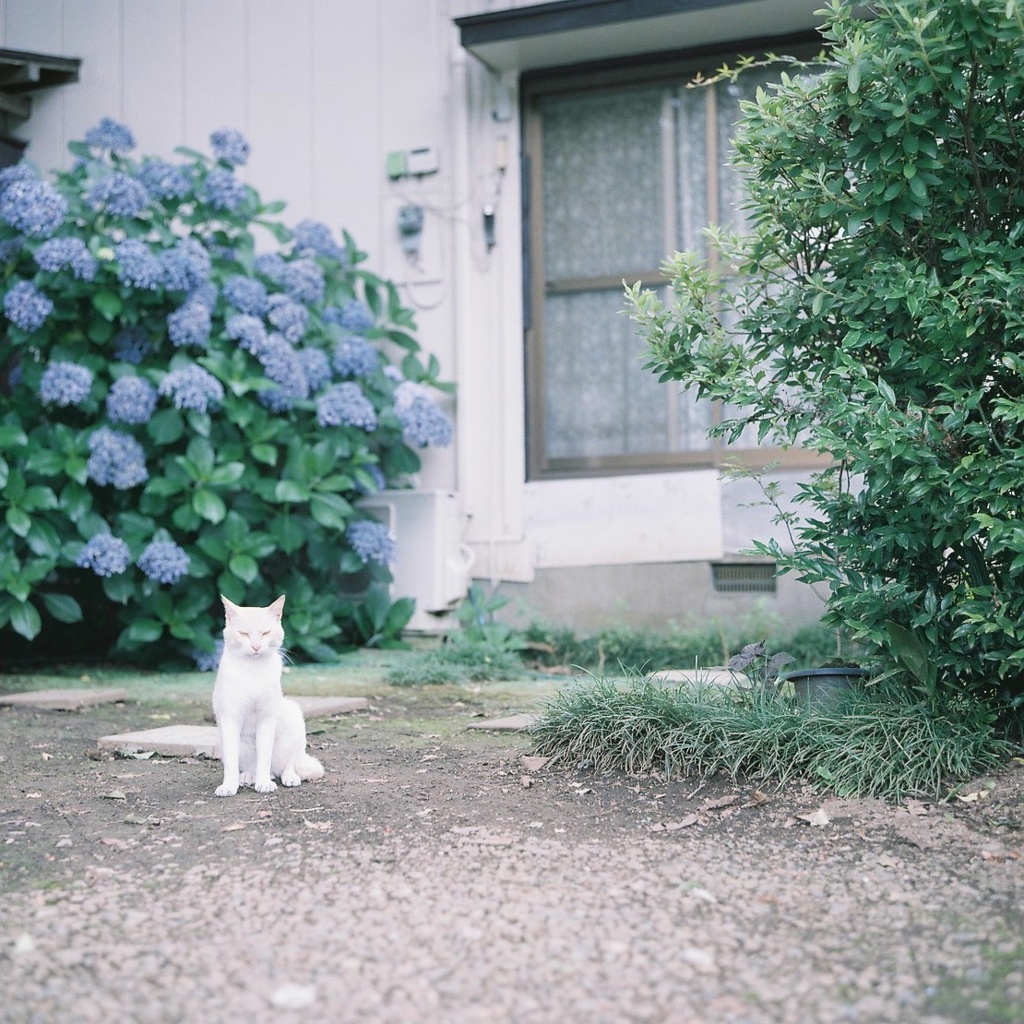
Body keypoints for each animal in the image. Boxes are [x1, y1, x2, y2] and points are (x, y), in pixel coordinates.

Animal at [214, 593, 325, 798]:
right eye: (244, 634)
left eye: (265, 633)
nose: (256, 646)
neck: (253, 670)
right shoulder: (230, 720)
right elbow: (232, 763)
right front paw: (229, 786)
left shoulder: (267, 718)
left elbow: (264, 757)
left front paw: (263, 783)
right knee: (253, 766)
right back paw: (249, 776)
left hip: (293, 719)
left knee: (288, 764)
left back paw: (287, 777)